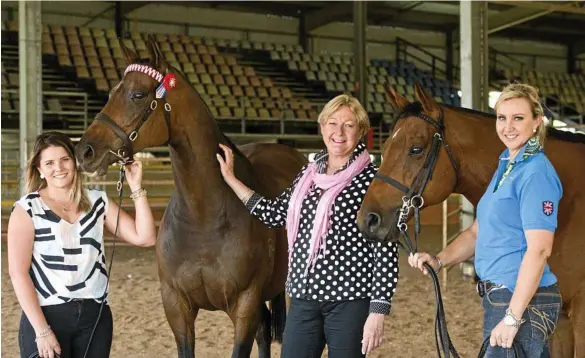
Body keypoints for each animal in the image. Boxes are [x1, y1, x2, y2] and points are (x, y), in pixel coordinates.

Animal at [75, 37, 308, 356]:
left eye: (137, 94)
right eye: (111, 93)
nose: (85, 151)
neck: (203, 218)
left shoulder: (245, 306)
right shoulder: (176, 308)